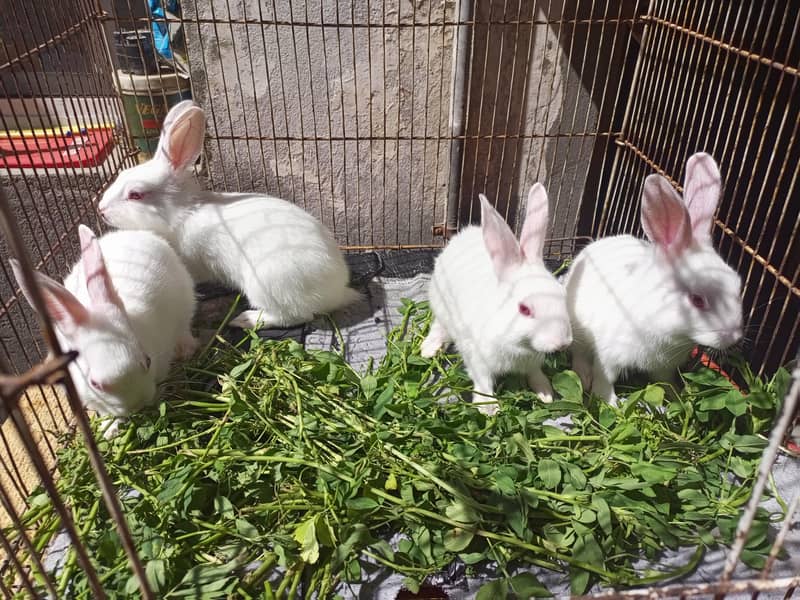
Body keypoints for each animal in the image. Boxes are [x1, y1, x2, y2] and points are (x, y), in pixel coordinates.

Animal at [10, 225, 197, 435]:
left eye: (148, 361)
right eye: (94, 384)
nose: (138, 404)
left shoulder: (162, 360)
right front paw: (111, 430)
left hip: (186, 300)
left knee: (184, 328)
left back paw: (186, 349)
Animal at [97, 100, 360, 329]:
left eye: (136, 194)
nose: (100, 209)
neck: (181, 214)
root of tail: (337, 291)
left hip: (268, 285)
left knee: (295, 316)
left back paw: (245, 320)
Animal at [421, 184, 573, 415]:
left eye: (563, 296)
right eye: (524, 309)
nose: (562, 343)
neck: (518, 345)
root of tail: (462, 235)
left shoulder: (533, 362)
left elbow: (535, 374)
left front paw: (546, 394)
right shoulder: (478, 359)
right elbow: (483, 382)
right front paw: (490, 408)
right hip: (441, 305)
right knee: (439, 327)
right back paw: (429, 350)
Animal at [563, 152, 743, 403]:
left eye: (739, 285)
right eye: (697, 300)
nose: (735, 337)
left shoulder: (664, 367)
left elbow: (665, 382)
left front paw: (677, 397)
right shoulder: (610, 355)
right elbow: (605, 379)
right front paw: (611, 403)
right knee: (579, 353)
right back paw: (584, 375)